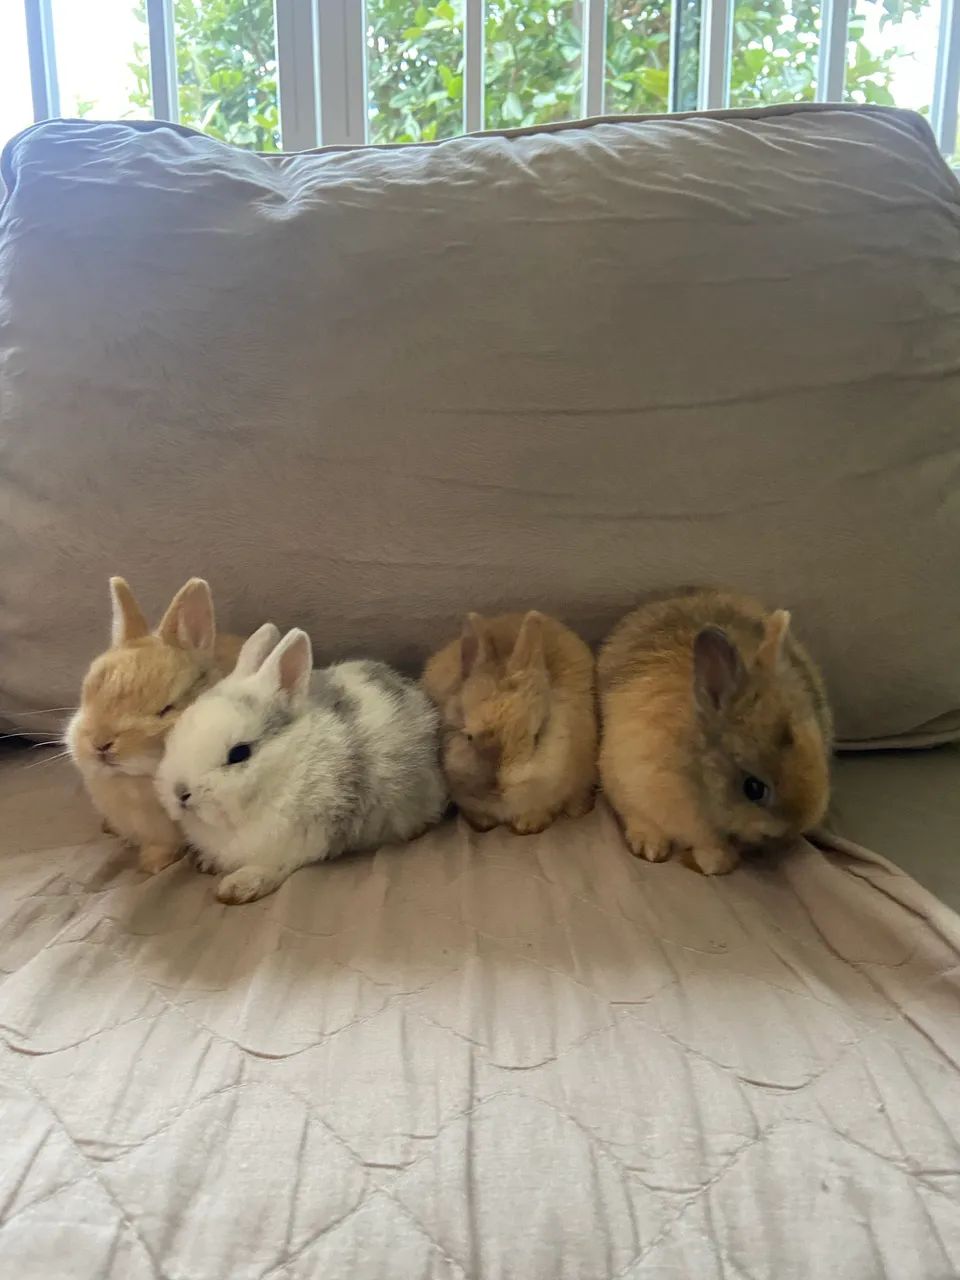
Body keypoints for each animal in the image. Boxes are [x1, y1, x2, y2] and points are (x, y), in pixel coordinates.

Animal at [156, 624, 449, 904]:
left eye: (239, 753)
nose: (179, 793)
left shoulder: (304, 838)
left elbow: (277, 865)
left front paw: (239, 886)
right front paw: (206, 862)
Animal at [597, 587, 833, 875]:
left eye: (815, 750)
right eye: (754, 788)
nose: (800, 826)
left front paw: (714, 863)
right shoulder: (627, 787)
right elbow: (640, 819)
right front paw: (650, 848)